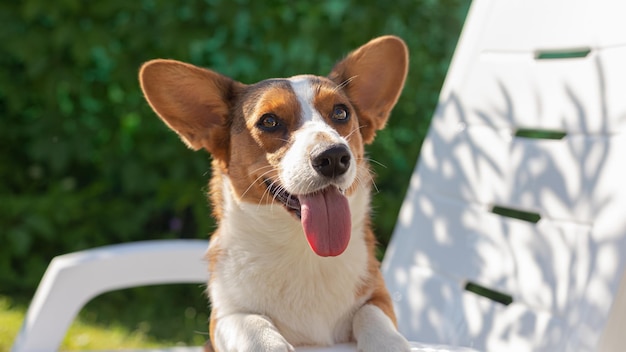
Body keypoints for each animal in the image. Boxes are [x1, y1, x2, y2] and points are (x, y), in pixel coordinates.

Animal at [137, 35, 410, 352]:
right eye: (269, 121)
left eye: (341, 112)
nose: (333, 157)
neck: (302, 250)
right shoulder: (225, 317)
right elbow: (254, 325)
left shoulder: (379, 297)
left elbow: (371, 314)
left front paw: (389, 343)